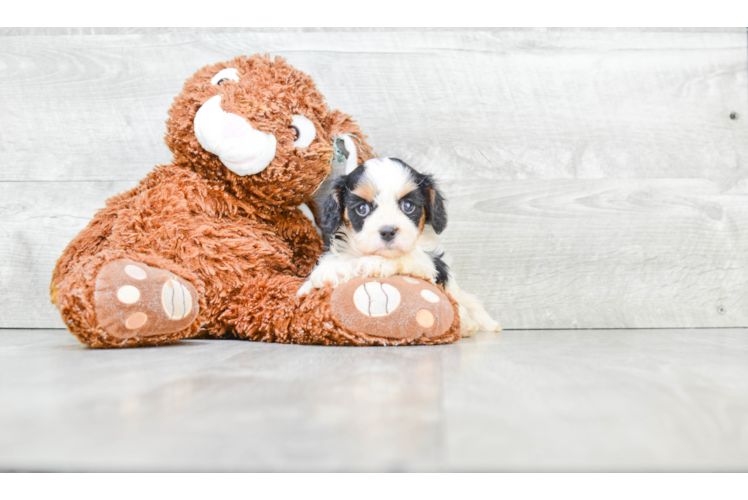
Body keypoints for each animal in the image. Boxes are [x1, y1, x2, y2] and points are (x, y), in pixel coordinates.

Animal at [298, 156, 502, 336]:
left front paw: (374, 263)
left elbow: (407, 257)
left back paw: (468, 324)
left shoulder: (429, 265)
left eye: (408, 206)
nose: (388, 231)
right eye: (362, 209)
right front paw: (327, 272)